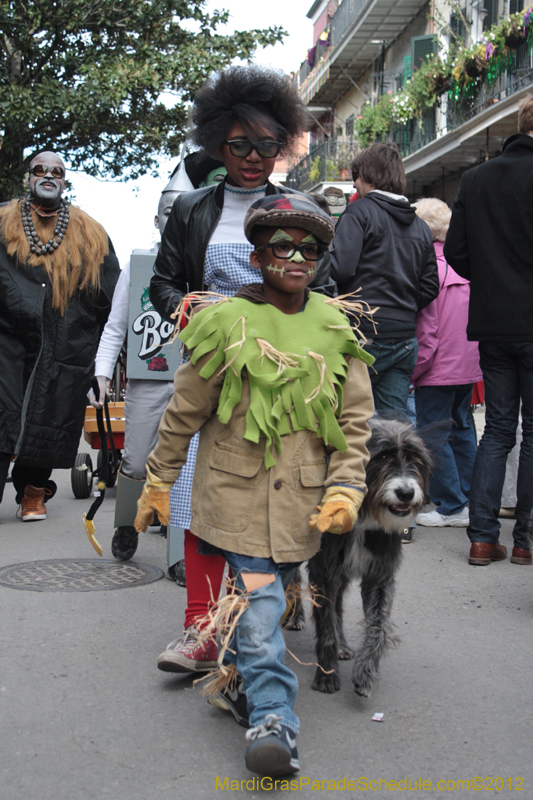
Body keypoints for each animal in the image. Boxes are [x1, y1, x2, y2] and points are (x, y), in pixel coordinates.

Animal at [306, 416, 430, 696]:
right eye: (382, 456)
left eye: (415, 458)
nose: (406, 493)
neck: (363, 517)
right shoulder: (323, 571)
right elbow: (325, 624)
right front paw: (326, 675)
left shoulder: (379, 575)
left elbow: (378, 625)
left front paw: (365, 673)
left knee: (338, 606)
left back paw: (342, 646)